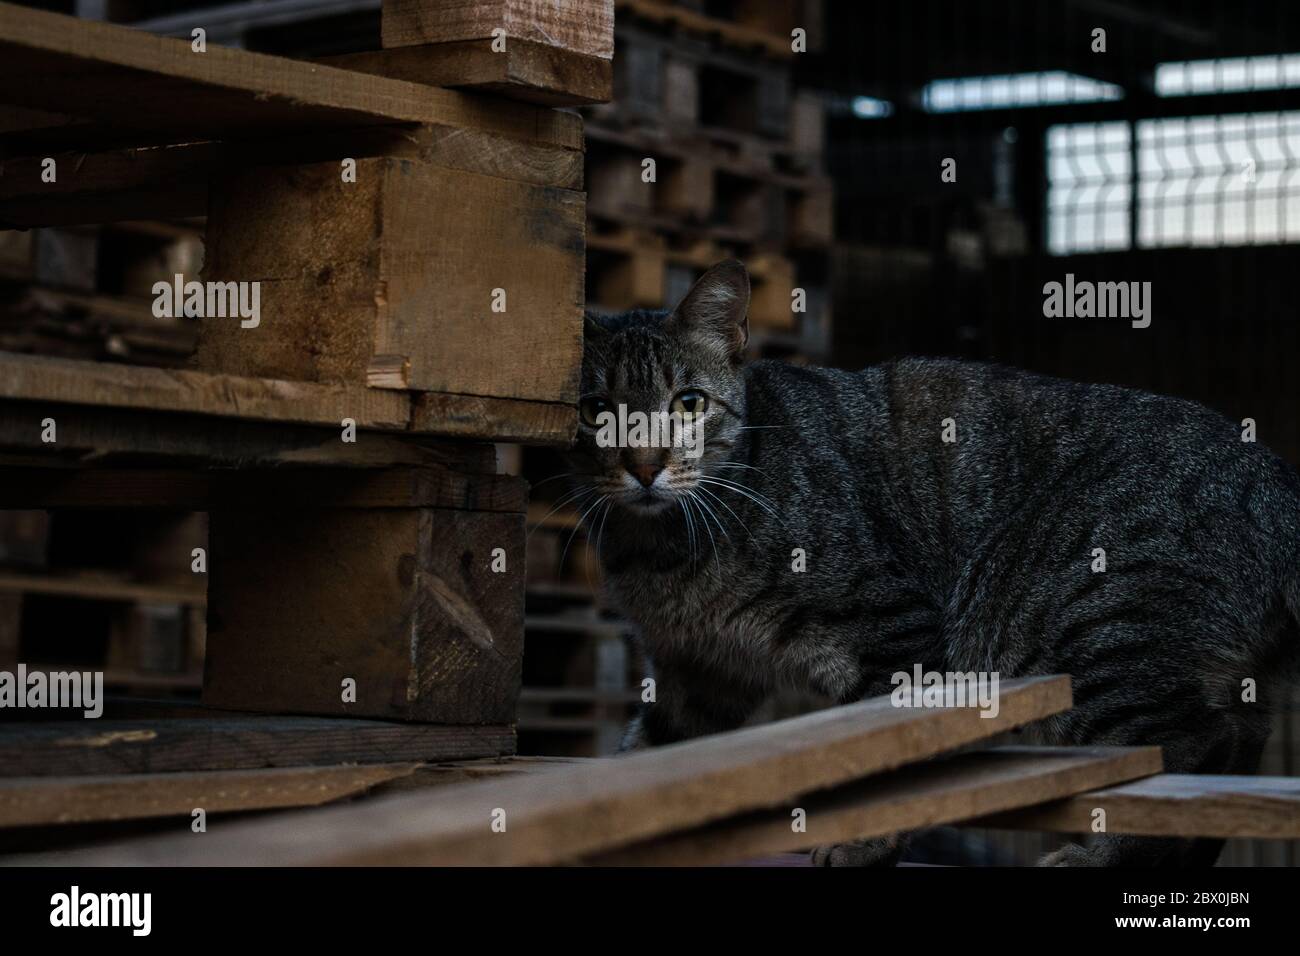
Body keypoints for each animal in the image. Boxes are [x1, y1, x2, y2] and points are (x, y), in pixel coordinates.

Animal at [566, 260, 1300, 868]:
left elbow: (892, 764)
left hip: (1081, 628)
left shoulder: (895, 632)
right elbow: (644, 762)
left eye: (688, 403)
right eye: (595, 412)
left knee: (1189, 751)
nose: (644, 467)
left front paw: (868, 841)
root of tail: (1271, 474)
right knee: (1232, 749)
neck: (661, 551)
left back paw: (1099, 858)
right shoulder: (696, 676)